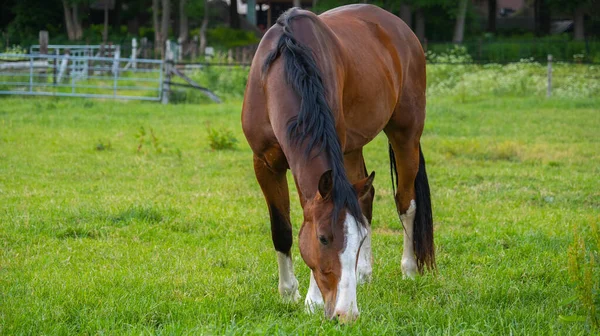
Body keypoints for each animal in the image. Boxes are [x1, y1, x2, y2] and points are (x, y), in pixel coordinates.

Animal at [241, 3, 434, 322]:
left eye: (357, 241)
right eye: (323, 239)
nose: (347, 313)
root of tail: (401, 28)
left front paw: (312, 300)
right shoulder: (265, 164)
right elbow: (281, 229)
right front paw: (288, 293)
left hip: (405, 133)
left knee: (407, 203)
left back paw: (409, 270)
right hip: (353, 148)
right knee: (366, 195)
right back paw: (365, 274)